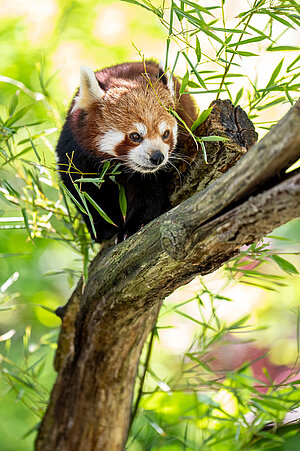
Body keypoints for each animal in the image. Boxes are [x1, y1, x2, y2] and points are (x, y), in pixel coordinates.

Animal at [56, 61, 197, 244]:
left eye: (166, 134)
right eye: (135, 136)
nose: (157, 157)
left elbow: (147, 195)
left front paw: (132, 227)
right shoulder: (75, 150)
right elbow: (83, 192)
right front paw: (103, 228)